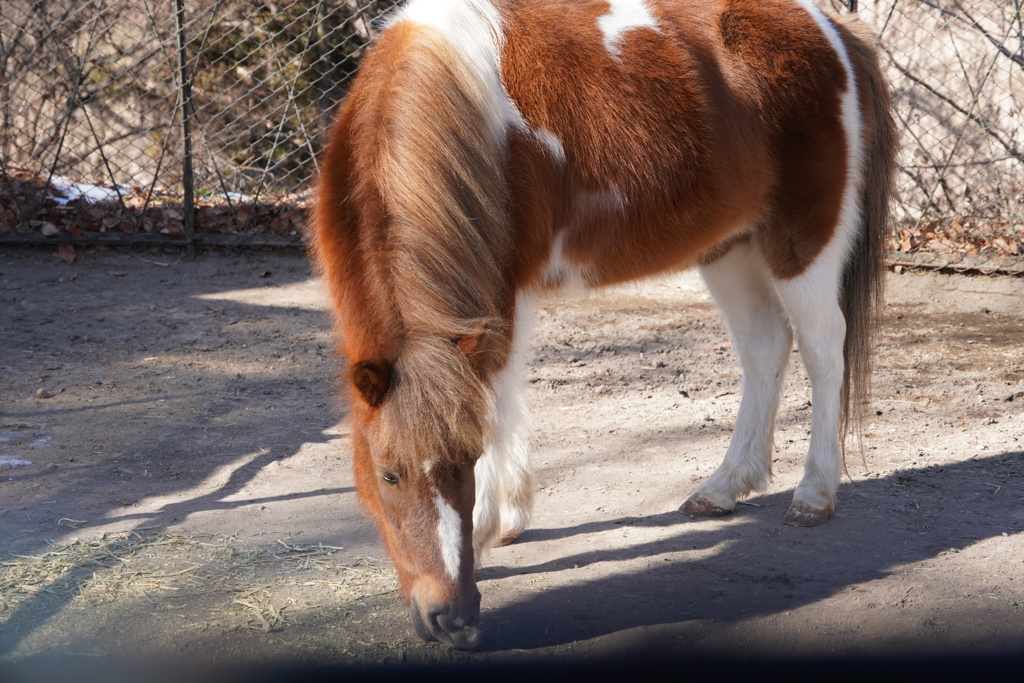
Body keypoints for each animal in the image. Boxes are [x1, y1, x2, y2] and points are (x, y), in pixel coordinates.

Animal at [311, 0, 897, 651]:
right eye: (387, 474)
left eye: (465, 462)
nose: (452, 620)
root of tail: (834, 31)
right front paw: (505, 523)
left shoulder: (503, 293)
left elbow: (496, 402)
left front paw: (490, 526)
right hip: (730, 246)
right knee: (764, 349)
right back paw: (723, 487)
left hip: (802, 242)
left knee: (823, 353)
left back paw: (814, 494)